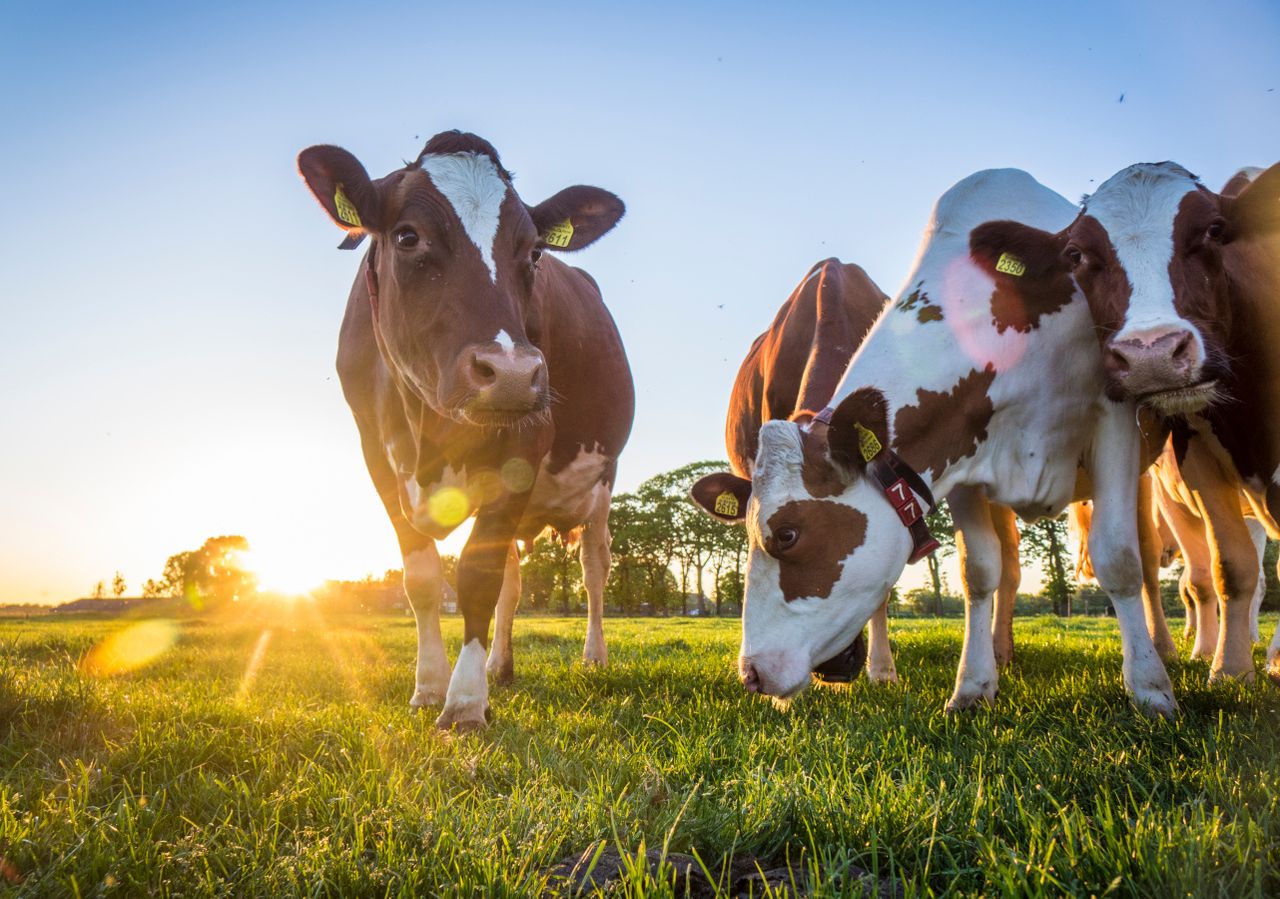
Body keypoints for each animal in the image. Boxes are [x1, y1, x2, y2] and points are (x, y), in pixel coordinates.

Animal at [297, 131, 634, 729]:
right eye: (408, 236)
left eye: (535, 251)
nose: (513, 373)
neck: (428, 429)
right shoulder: (376, 456)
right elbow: (423, 579)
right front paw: (429, 686)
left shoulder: (526, 444)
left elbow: (477, 577)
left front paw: (464, 703)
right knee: (515, 581)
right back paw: (501, 665)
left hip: (602, 480)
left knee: (594, 568)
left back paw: (593, 658)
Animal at [979, 162, 1280, 682]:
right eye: (1077, 254)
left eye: (1213, 230)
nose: (1151, 355)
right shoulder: (1198, 457)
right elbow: (1229, 569)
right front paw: (1229, 669)